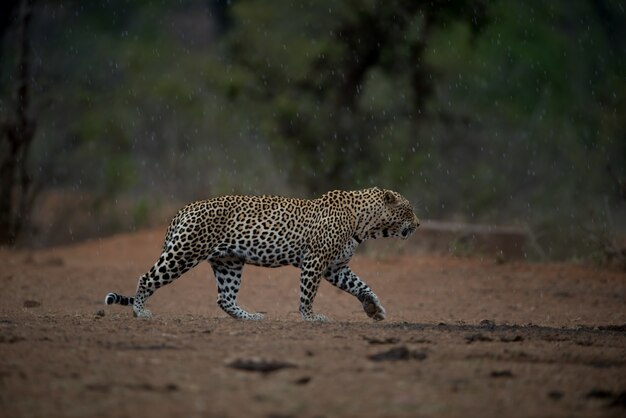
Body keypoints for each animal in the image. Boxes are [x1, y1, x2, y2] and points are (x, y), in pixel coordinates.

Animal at [105, 188, 420, 322]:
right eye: (409, 209)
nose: (418, 224)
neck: (365, 222)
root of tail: (185, 208)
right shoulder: (316, 260)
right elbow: (308, 292)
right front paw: (310, 317)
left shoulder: (336, 267)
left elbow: (362, 285)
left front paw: (374, 308)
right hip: (185, 252)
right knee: (147, 277)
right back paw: (140, 311)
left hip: (229, 262)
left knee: (224, 299)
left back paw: (250, 317)